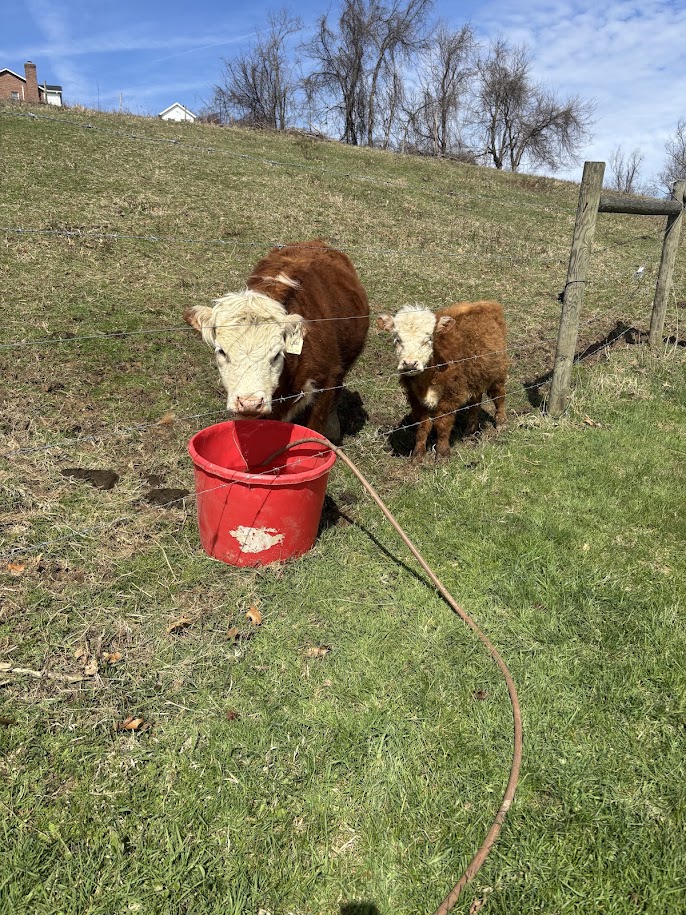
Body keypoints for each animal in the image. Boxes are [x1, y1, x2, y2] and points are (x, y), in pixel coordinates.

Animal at [377, 300, 508, 461]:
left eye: (428, 339)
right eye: (397, 339)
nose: (410, 363)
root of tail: (487, 303)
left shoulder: (449, 396)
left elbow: (443, 424)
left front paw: (442, 454)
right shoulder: (415, 399)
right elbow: (422, 426)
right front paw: (417, 455)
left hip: (497, 372)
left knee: (499, 396)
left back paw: (501, 422)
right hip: (474, 376)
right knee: (475, 403)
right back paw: (470, 431)